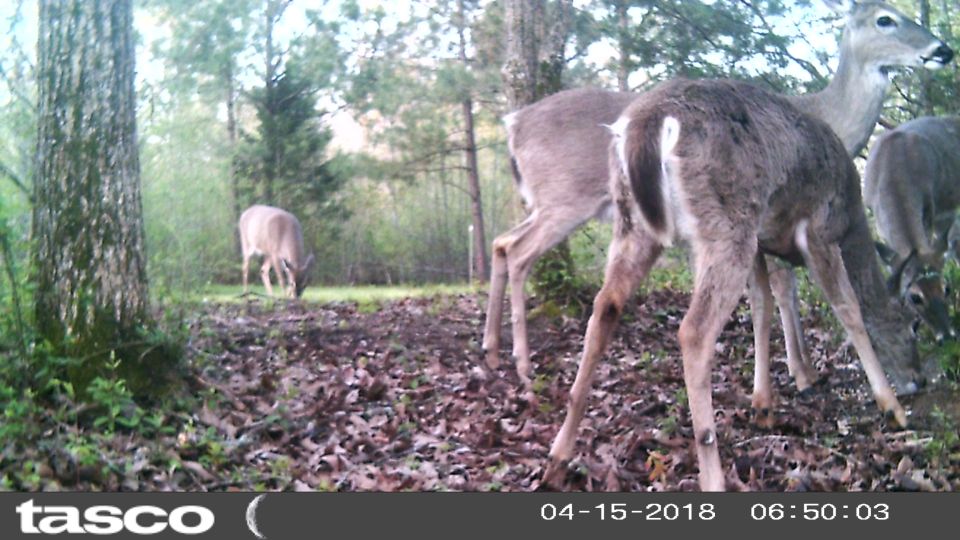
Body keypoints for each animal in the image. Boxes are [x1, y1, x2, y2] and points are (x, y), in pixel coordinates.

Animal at [546, 77, 921, 491]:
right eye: (913, 325)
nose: (919, 379)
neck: (853, 220)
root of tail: (648, 123)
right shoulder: (818, 229)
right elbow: (848, 308)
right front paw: (892, 406)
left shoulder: (762, 242)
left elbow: (763, 306)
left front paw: (764, 404)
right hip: (726, 219)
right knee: (694, 332)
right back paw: (712, 473)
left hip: (634, 221)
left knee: (605, 306)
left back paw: (558, 456)